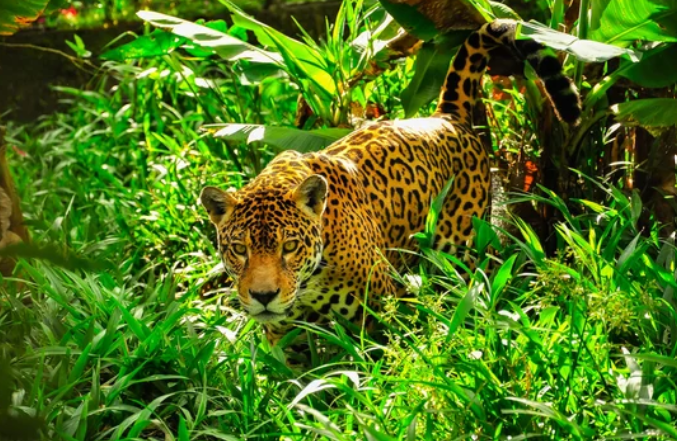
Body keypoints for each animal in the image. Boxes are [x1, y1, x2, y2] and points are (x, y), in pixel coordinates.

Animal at [200, 19, 581, 345]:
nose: (264, 296)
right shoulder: (285, 339)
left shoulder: (380, 314)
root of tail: (446, 115)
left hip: (463, 251)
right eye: (239, 249)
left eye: (290, 246)